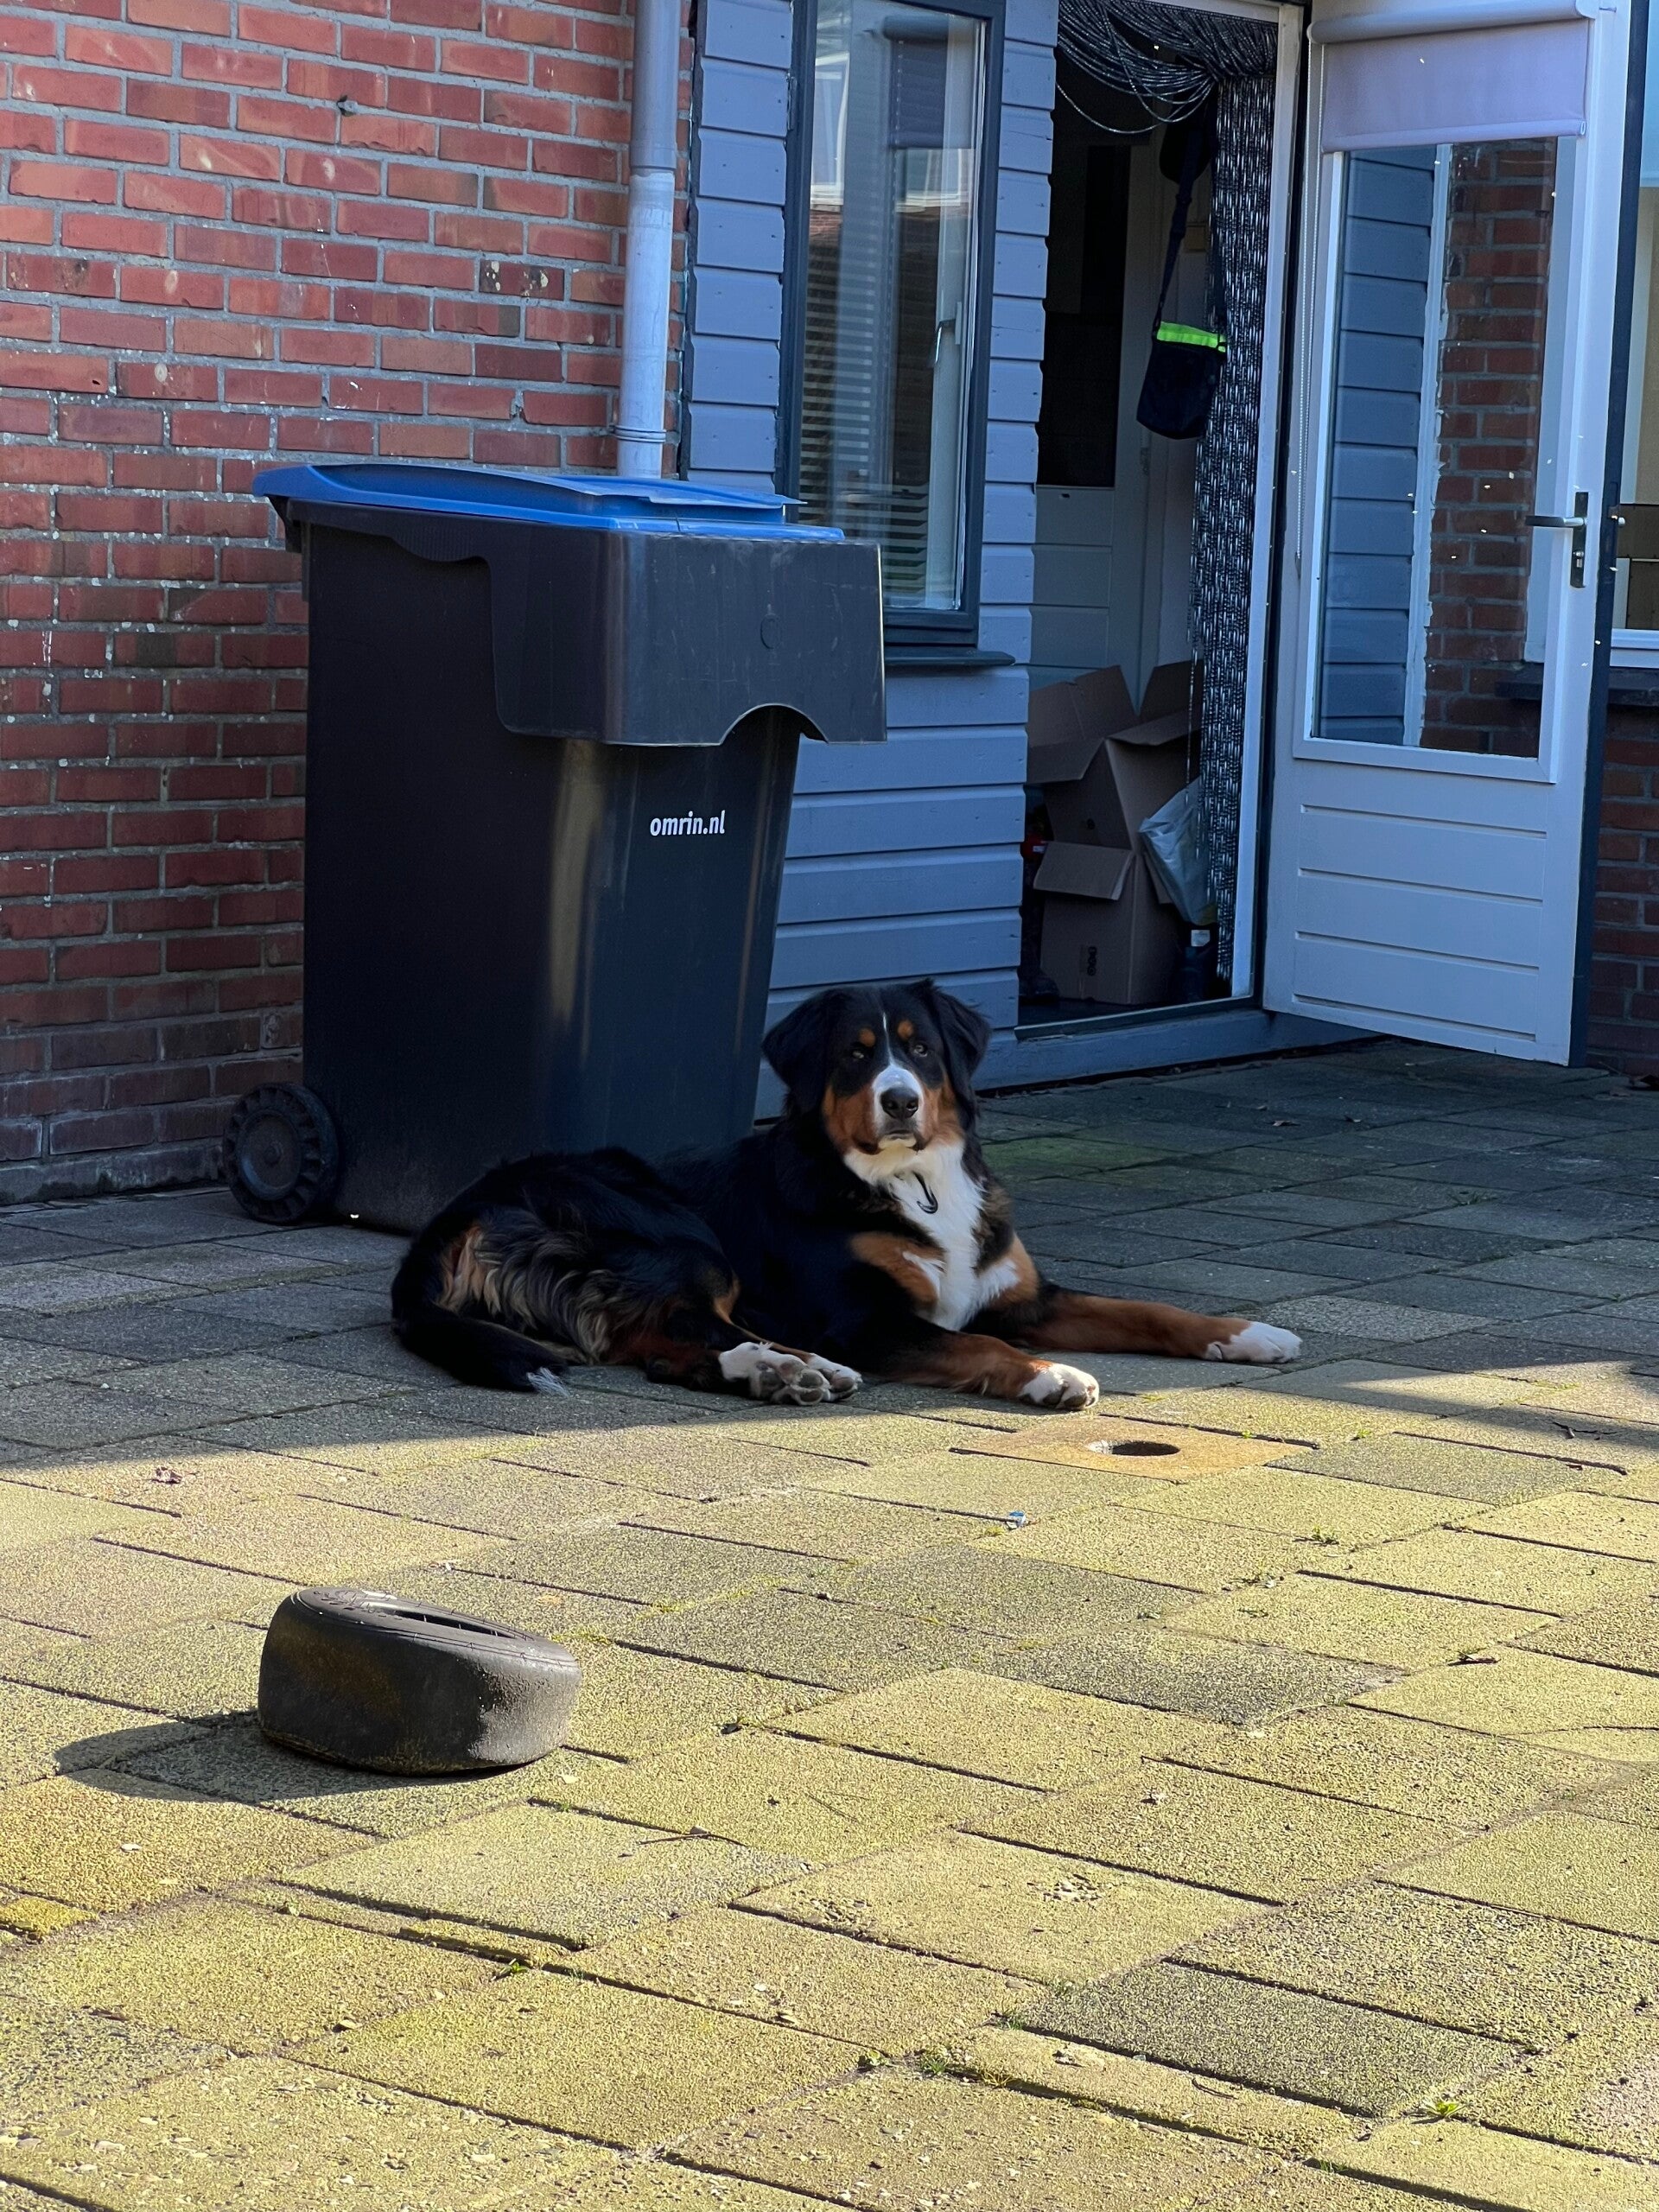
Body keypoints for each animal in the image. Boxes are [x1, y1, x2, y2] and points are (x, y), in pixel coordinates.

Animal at [392, 980, 1300, 1408]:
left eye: (922, 1049)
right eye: (856, 1056)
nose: (899, 1101)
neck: (910, 1182)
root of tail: (459, 1209)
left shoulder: (1021, 1292)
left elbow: (1147, 1310)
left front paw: (1247, 1334)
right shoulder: (866, 1319)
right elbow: (980, 1344)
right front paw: (1050, 1377)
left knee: (659, 1348)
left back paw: (785, 1373)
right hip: (672, 1232)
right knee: (682, 1329)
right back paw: (783, 1368)